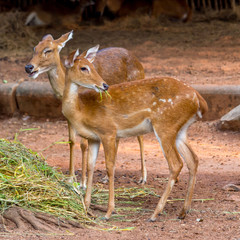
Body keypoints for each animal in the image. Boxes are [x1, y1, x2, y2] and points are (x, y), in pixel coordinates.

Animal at [25, 30, 147, 188]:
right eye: (35, 48)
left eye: (48, 50)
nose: (28, 67)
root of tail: (139, 62)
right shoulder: (68, 116)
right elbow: (71, 141)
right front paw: (70, 178)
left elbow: (83, 144)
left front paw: (82, 182)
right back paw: (106, 177)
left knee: (140, 135)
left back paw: (143, 177)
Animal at [63, 47, 208, 221]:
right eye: (83, 68)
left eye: (93, 67)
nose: (104, 85)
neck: (81, 110)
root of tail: (198, 99)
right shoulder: (93, 138)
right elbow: (91, 166)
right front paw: (86, 205)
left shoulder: (108, 131)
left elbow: (110, 167)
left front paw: (108, 212)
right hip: (180, 129)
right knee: (193, 159)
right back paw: (183, 211)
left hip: (165, 125)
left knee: (176, 164)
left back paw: (155, 213)